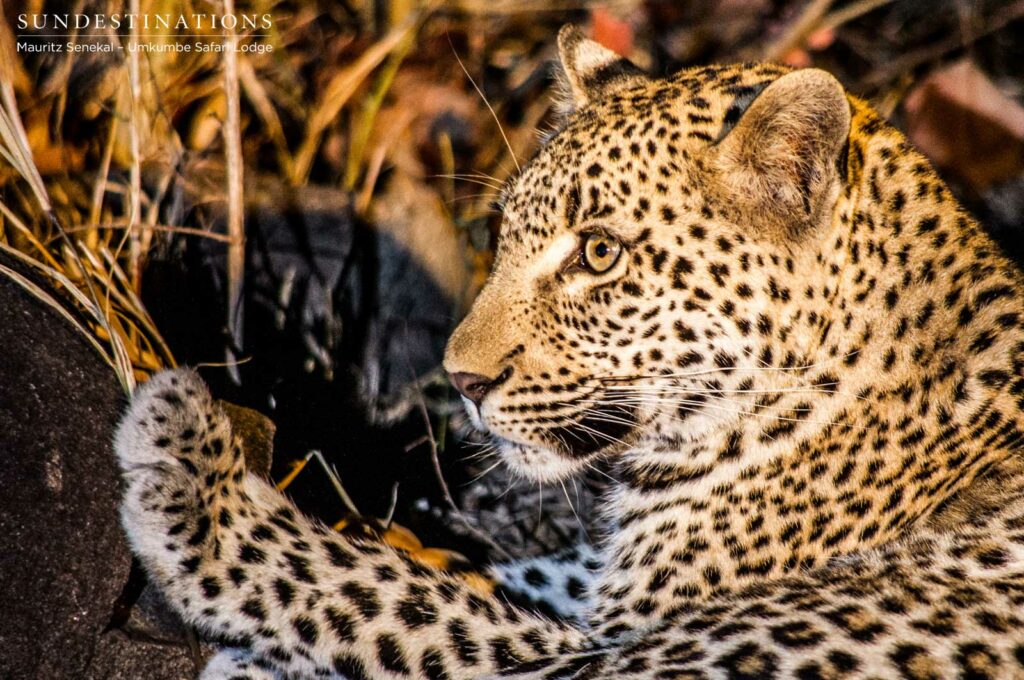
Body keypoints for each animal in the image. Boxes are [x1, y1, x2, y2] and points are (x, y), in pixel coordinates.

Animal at [115, 25, 1024, 679]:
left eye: (599, 254)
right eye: (503, 233)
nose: (462, 380)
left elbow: (393, 594)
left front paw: (194, 479)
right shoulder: (594, 587)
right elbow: (498, 576)